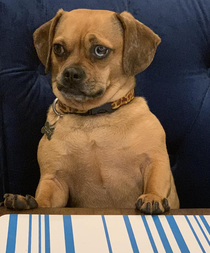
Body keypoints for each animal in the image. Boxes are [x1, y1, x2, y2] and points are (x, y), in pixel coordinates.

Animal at [1, 8, 179, 213]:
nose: (71, 73)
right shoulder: (54, 179)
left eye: (100, 50)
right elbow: (44, 199)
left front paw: (152, 197)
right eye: (58, 48)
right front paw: (27, 201)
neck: (93, 118)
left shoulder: (155, 162)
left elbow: (154, 182)